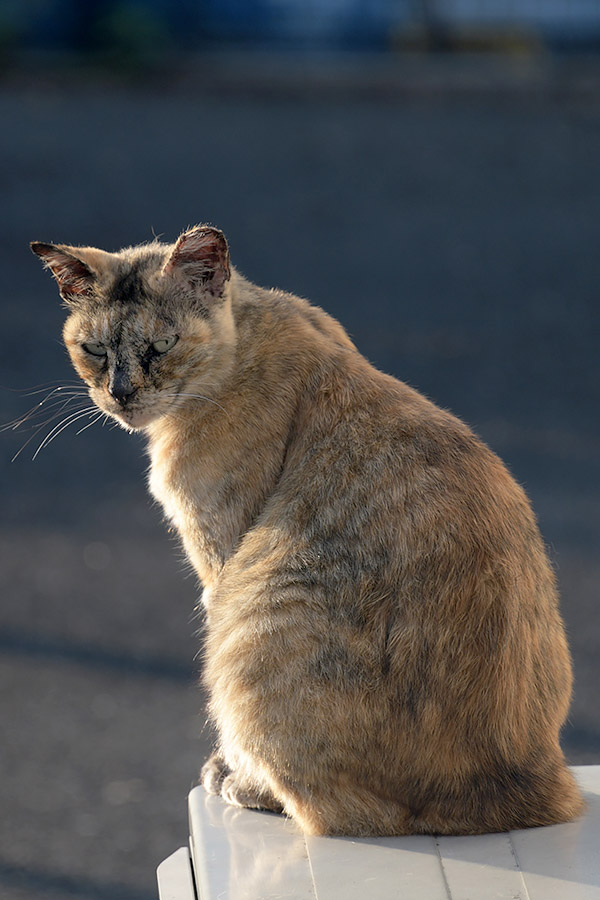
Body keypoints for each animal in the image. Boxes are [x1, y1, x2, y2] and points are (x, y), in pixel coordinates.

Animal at [30, 225, 584, 836]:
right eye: (95, 350)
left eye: (161, 346)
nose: (120, 393)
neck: (245, 342)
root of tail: (534, 789)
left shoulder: (221, 561)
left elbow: (231, 729)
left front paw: (231, 774)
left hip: (254, 619)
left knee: (339, 812)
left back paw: (250, 789)